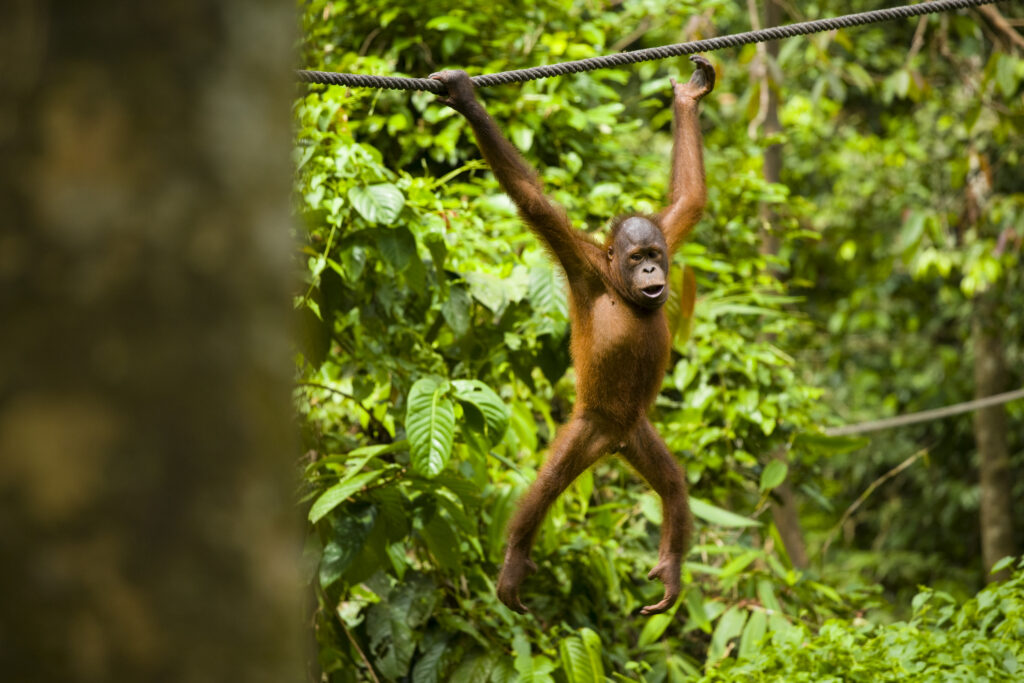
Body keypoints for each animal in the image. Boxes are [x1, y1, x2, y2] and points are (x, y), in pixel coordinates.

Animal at [431, 55, 715, 616]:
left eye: (655, 255)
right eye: (636, 257)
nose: (653, 272)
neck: (619, 286)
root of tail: (614, 442)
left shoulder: (668, 231)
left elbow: (689, 199)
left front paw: (688, 98)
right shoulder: (580, 264)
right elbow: (535, 202)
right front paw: (466, 99)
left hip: (638, 432)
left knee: (673, 486)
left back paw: (670, 569)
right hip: (588, 425)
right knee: (546, 486)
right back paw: (514, 563)